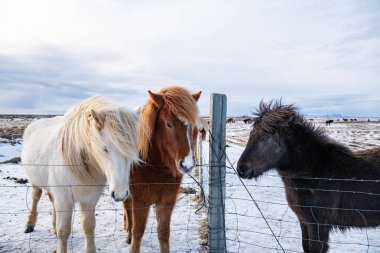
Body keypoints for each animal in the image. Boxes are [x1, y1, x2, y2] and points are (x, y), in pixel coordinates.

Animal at [21, 96, 140, 253]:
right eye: (105, 148)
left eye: (132, 149)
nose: (120, 194)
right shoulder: (64, 199)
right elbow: (64, 231)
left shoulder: (89, 199)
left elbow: (89, 226)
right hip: (35, 183)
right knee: (35, 198)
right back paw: (29, 224)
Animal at [124, 86, 202, 252]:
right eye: (168, 124)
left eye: (194, 126)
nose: (187, 164)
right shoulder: (140, 201)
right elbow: (138, 233)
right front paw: (131, 236)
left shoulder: (167, 201)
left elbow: (164, 234)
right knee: (126, 207)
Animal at [236, 100, 380, 252]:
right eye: (250, 134)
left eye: (264, 137)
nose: (241, 169)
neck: (313, 172)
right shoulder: (304, 222)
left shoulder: (319, 225)